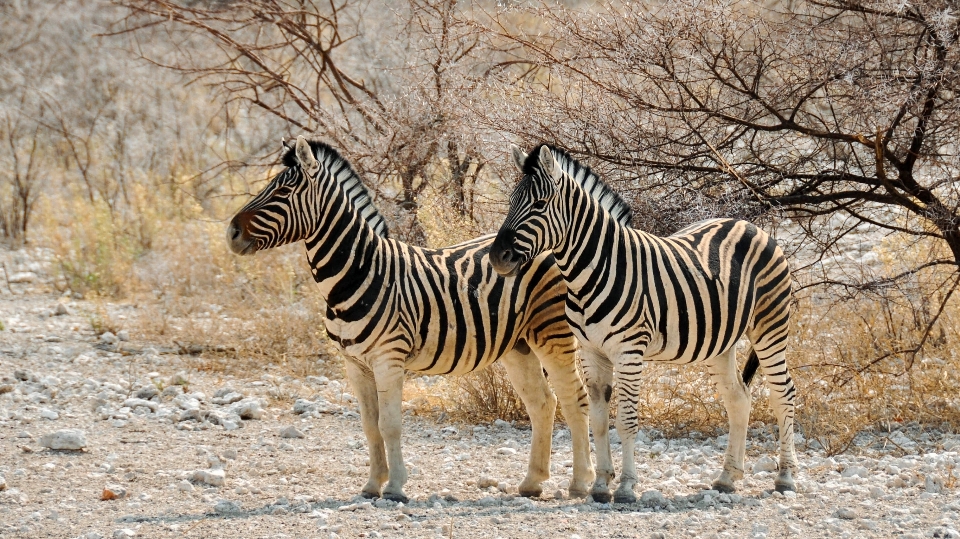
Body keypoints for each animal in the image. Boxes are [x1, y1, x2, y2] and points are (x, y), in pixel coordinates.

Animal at [228, 137, 596, 504]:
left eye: (283, 191)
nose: (231, 232)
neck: (358, 273)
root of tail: (556, 243)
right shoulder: (353, 363)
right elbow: (369, 425)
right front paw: (371, 485)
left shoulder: (388, 358)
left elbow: (389, 424)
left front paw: (394, 487)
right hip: (518, 345)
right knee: (542, 403)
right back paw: (533, 482)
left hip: (553, 334)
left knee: (575, 399)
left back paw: (581, 483)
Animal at [492, 146, 800, 504]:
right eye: (511, 201)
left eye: (539, 204)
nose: (497, 257)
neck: (593, 270)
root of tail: (747, 224)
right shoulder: (591, 352)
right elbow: (599, 419)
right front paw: (601, 485)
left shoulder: (629, 351)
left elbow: (626, 420)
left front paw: (626, 487)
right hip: (720, 342)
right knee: (738, 398)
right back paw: (727, 478)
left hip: (770, 326)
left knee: (783, 393)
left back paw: (785, 477)